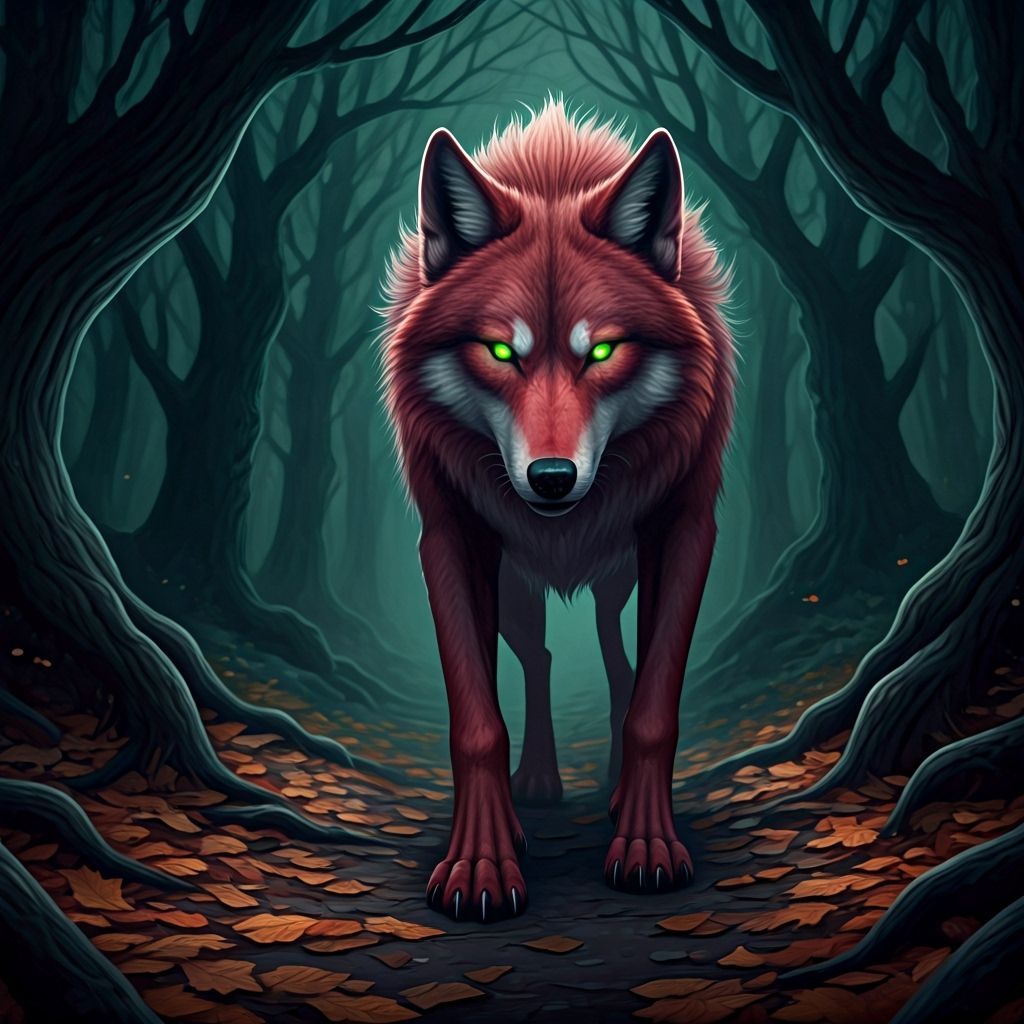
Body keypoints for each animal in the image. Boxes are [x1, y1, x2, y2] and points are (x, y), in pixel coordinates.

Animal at [380, 101, 734, 922]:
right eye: (500, 353)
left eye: (601, 352)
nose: (549, 478)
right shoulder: (450, 538)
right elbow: (477, 721)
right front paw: (480, 864)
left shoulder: (685, 528)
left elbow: (652, 707)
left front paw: (647, 846)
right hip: (513, 590)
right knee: (538, 658)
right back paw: (534, 788)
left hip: (619, 574)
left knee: (611, 648)